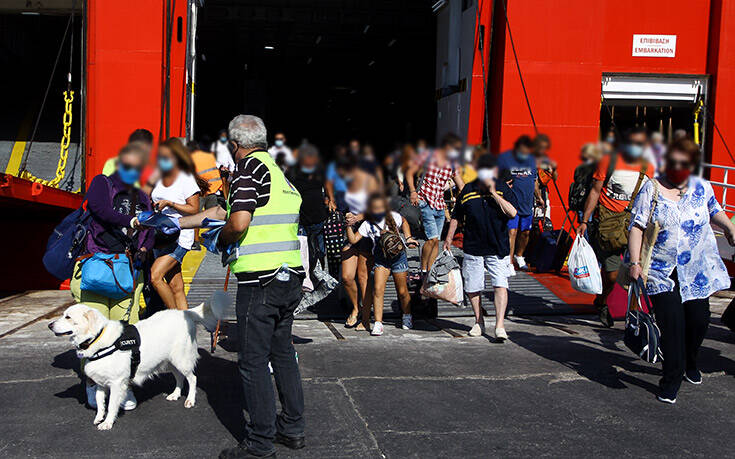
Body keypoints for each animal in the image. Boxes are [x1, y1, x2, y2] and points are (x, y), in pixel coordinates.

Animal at [47, 304, 216, 430]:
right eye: (63, 315)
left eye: (68, 317)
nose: (49, 325)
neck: (98, 340)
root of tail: (185, 313)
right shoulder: (101, 384)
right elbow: (100, 403)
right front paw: (99, 417)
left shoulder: (116, 383)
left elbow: (111, 405)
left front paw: (107, 422)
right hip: (170, 361)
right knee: (180, 377)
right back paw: (175, 394)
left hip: (181, 359)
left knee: (192, 378)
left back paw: (190, 400)